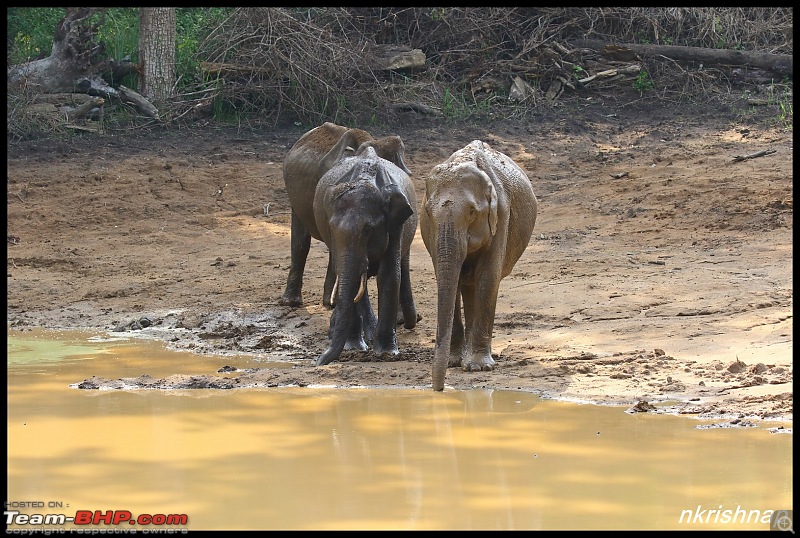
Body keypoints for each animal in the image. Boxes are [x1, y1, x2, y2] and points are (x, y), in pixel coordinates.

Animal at [312, 144, 418, 366]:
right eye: (332, 228)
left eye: (368, 229)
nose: (316, 362)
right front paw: (353, 348)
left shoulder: (396, 225)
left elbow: (389, 275)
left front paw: (387, 353)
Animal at [418, 138, 536, 390]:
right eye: (428, 213)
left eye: (472, 212)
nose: (439, 389)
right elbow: (447, 279)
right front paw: (454, 363)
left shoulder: (501, 215)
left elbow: (488, 277)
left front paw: (479, 367)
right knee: (465, 284)